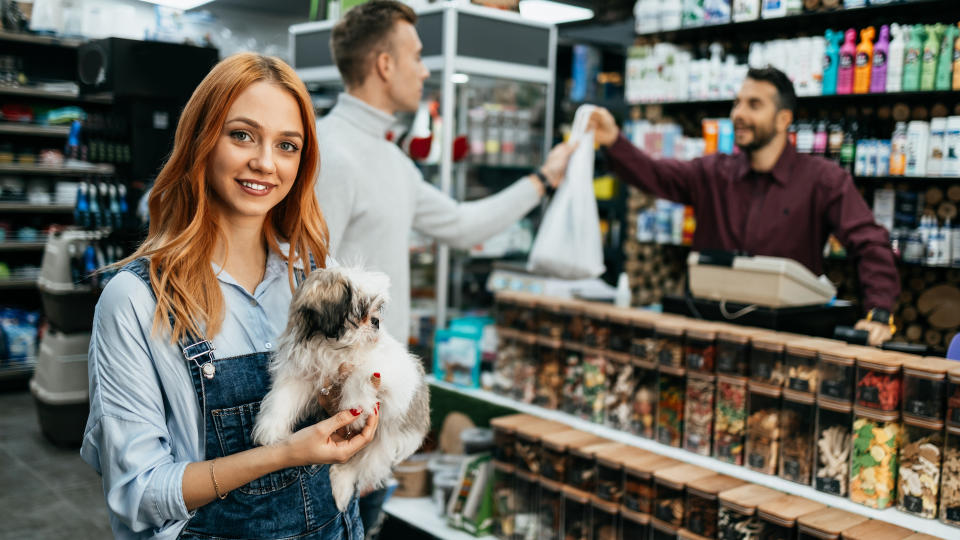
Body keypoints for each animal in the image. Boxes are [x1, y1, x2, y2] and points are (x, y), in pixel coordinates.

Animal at [253, 268, 430, 512]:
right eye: (362, 309)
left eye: (377, 309)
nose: (376, 321)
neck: (333, 348)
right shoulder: (302, 375)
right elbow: (283, 398)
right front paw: (271, 430)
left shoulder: (382, 369)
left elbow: (358, 375)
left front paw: (355, 408)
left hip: (385, 441)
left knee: (357, 463)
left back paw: (341, 486)